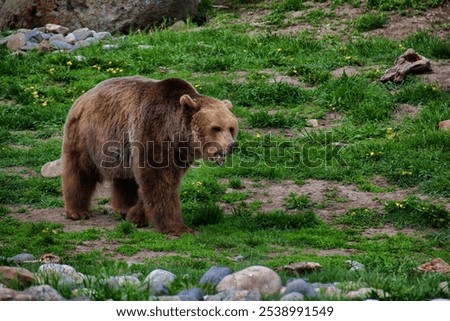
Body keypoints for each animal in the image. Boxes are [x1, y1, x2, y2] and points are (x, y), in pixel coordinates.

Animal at [63, 76, 241, 234]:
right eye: (216, 128)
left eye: (231, 128)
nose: (232, 145)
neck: (175, 133)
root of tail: (82, 97)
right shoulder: (153, 132)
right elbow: (159, 181)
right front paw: (179, 228)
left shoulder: (179, 154)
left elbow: (159, 183)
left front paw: (135, 216)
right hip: (89, 135)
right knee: (81, 171)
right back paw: (78, 211)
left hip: (122, 146)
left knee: (125, 178)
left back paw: (123, 208)